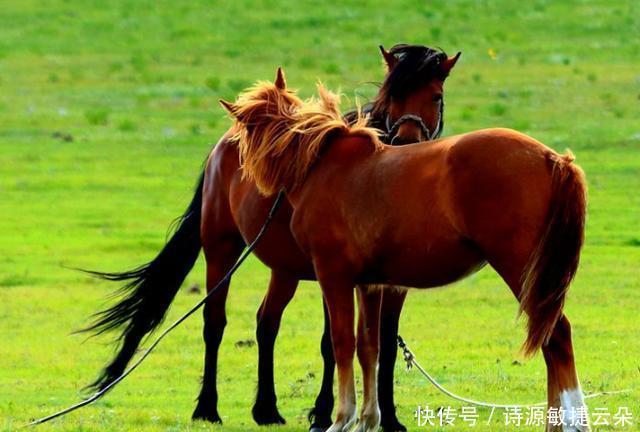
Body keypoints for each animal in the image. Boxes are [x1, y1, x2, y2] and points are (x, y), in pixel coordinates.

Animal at [82, 44, 460, 432]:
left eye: (435, 96)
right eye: (391, 94)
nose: (407, 141)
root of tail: (225, 142)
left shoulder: (389, 282)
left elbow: (383, 340)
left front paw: (389, 417)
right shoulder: (334, 271)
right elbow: (332, 341)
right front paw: (322, 413)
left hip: (285, 269)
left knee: (266, 323)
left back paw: (266, 408)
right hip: (221, 249)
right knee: (215, 322)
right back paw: (208, 407)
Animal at [225, 77, 592, 432]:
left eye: (242, 130)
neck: (322, 165)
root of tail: (552, 159)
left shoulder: (334, 277)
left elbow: (343, 344)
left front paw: (342, 419)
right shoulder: (369, 285)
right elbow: (368, 347)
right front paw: (367, 420)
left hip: (522, 271)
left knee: (557, 336)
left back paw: (575, 422)